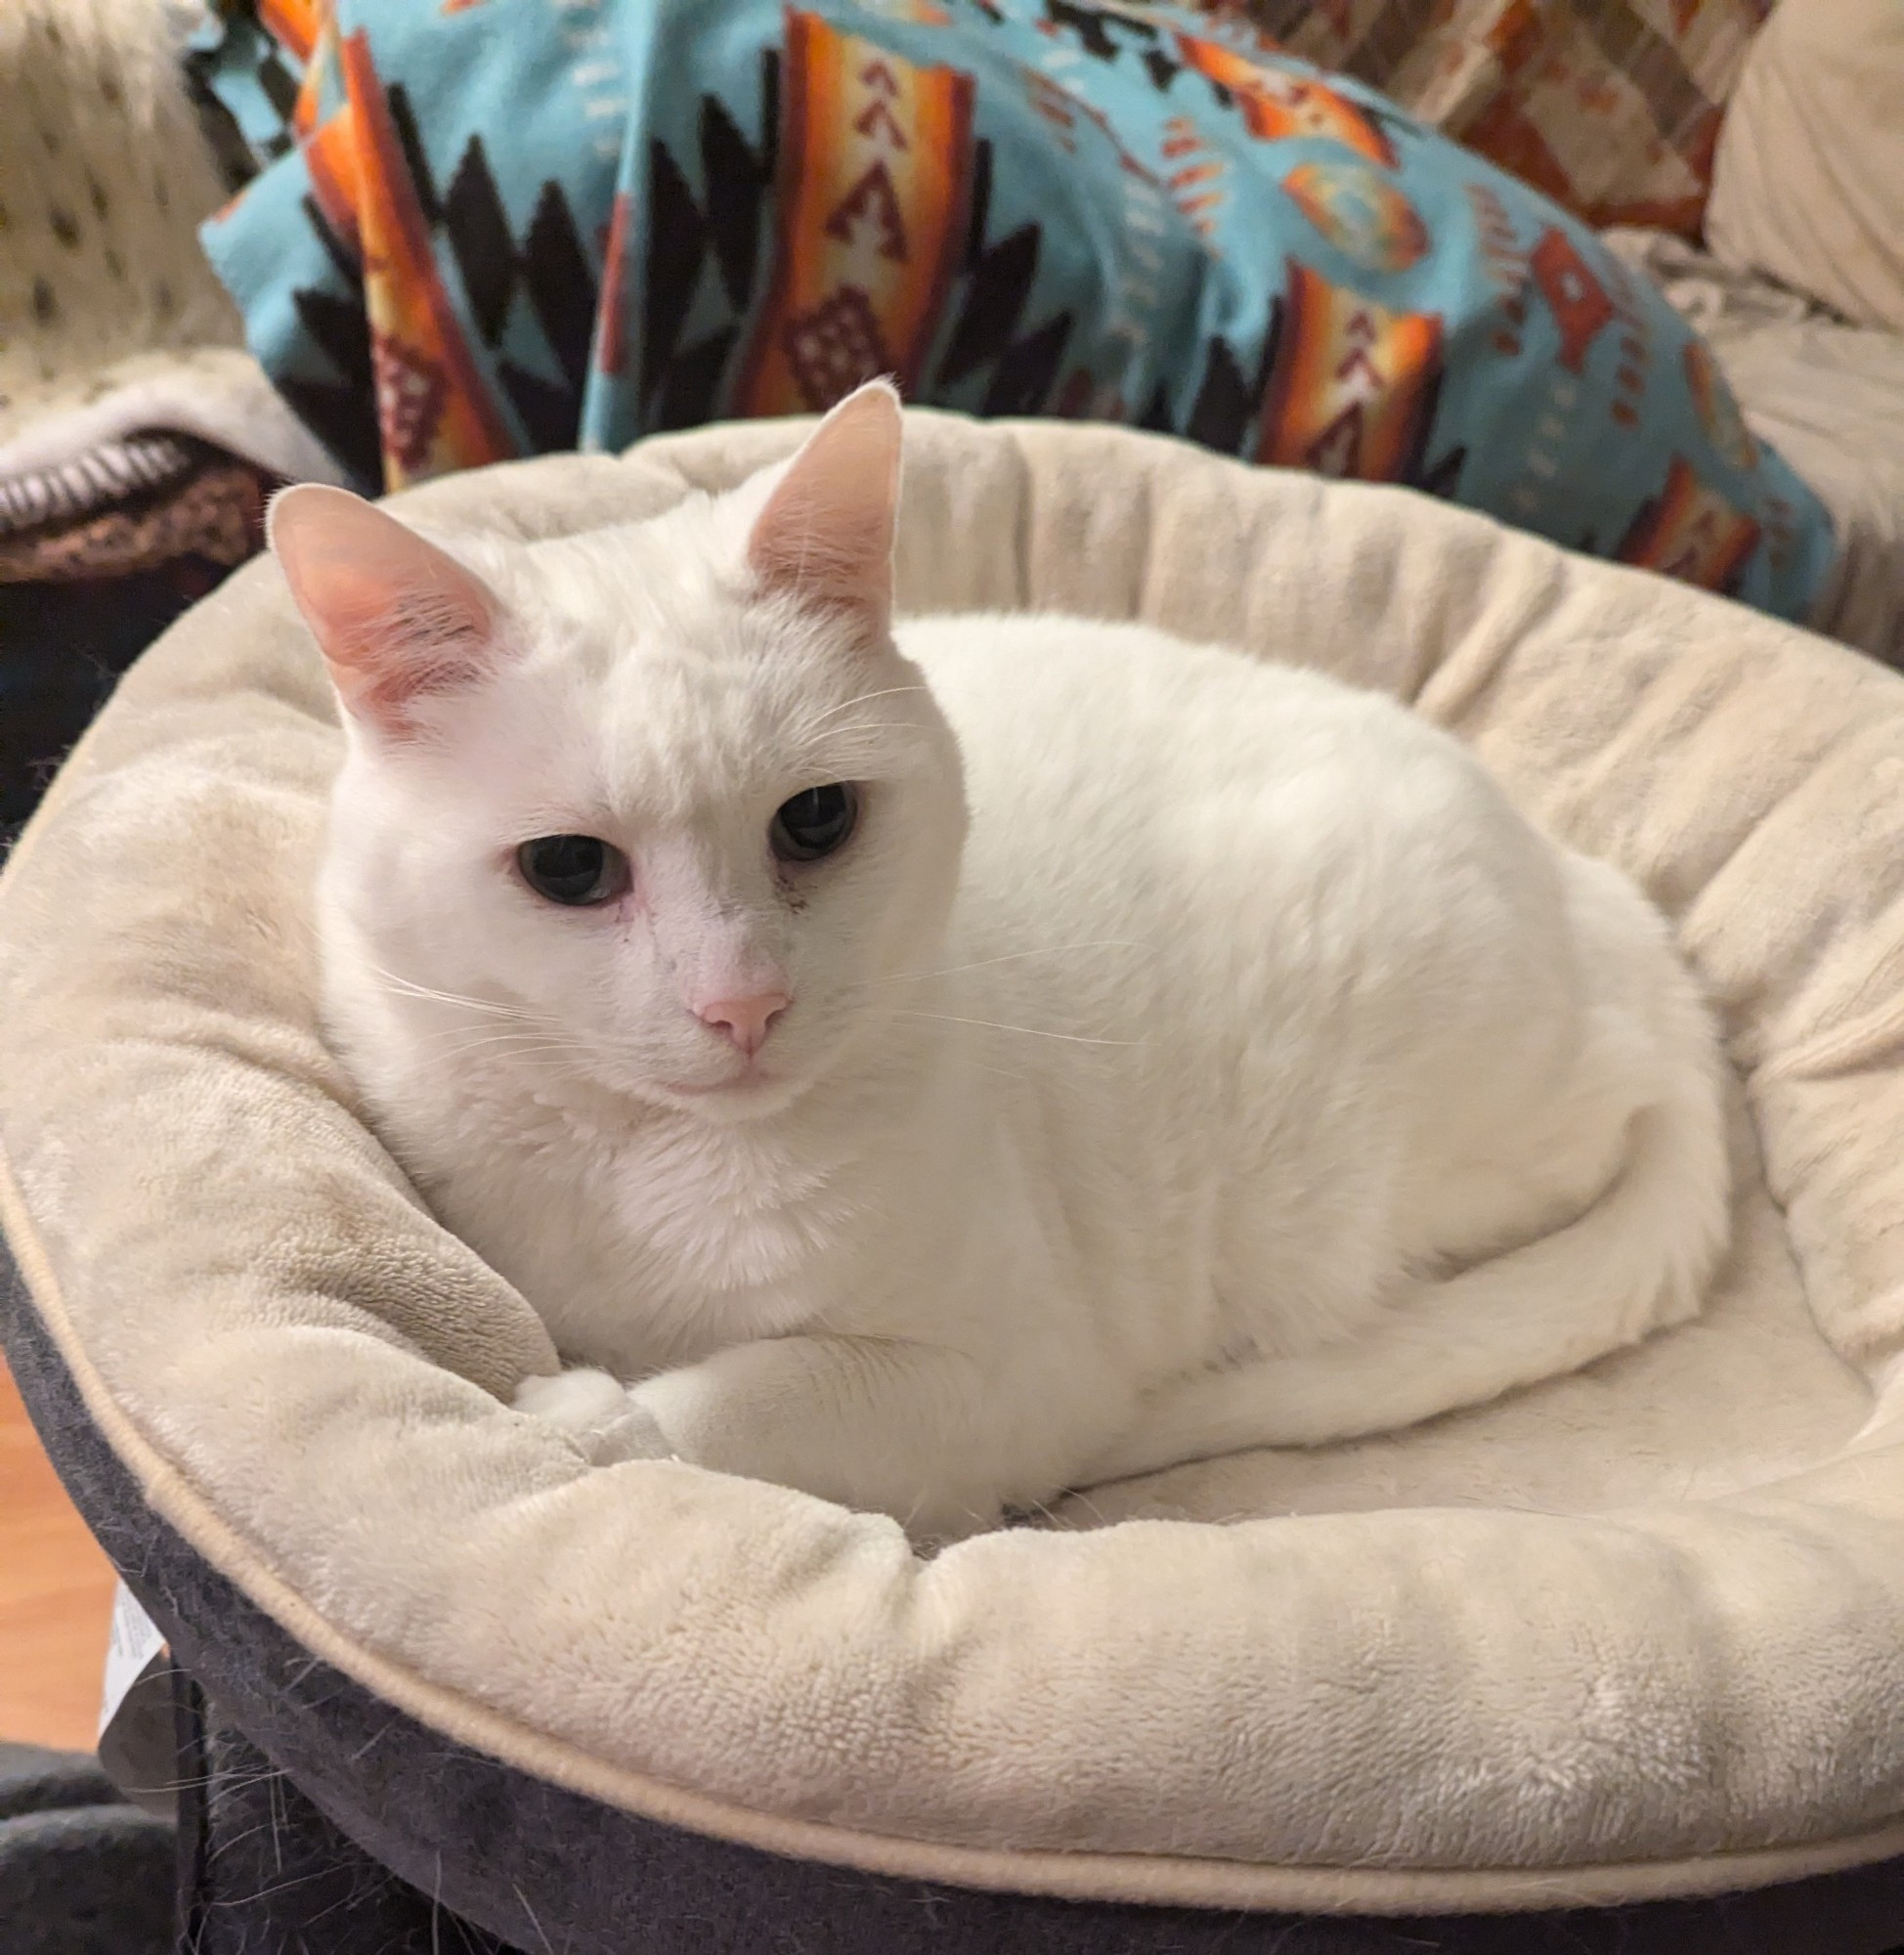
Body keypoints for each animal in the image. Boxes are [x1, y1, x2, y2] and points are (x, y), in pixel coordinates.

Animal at [276, 385, 1736, 1541]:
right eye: (570, 868)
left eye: (816, 819)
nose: (744, 1002)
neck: (643, 1164)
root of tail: (1606, 907)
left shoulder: (1007, 1378)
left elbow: (752, 1394)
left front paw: (594, 1420)